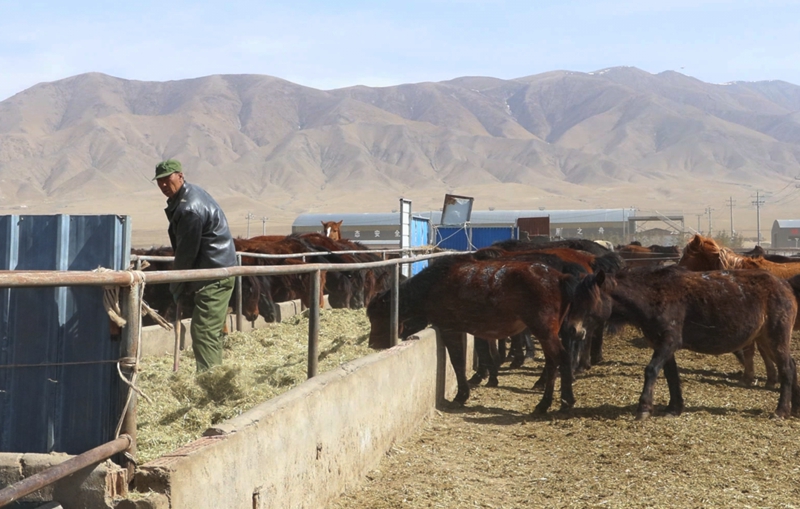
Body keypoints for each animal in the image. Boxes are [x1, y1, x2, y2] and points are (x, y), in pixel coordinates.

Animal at [367, 255, 581, 414]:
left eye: (377, 316)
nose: (372, 344)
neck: (433, 285)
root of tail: (559, 278)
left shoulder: (450, 329)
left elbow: (457, 361)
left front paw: (462, 395)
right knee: (552, 362)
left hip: (543, 330)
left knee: (561, 358)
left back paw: (562, 400)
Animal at [563, 265, 800, 419]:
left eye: (588, 300)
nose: (571, 329)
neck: (652, 296)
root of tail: (785, 285)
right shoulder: (662, 345)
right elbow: (671, 375)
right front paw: (674, 407)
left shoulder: (668, 342)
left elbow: (651, 370)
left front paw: (644, 408)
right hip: (765, 339)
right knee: (791, 365)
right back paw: (793, 407)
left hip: (775, 338)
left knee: (787, 368)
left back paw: (780, 411)